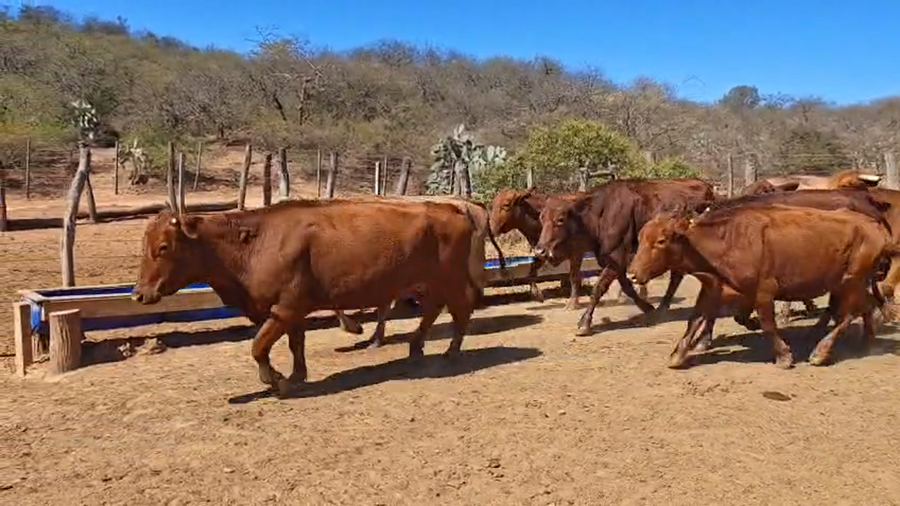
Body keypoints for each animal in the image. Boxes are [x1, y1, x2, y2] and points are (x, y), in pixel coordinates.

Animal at [132, 199, 483, 397]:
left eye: (163, 247)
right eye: (145, 245)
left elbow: (258, 346)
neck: (254, 243)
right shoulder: (292, 310)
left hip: (450, 278)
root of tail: (453, 209)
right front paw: (297, 375)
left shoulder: (285, 308)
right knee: (434, 309)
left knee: (461, 308)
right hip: (431, 281)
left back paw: (451, 351)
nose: (139, 294)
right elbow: (294, 343)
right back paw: (415, 347)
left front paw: (276, 381)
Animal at [533, 177, 716, 336]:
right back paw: (661, 309)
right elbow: (628, 287)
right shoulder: (614, 263)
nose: (540, 251)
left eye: (560, 219)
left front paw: (584, 323)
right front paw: (647, 308)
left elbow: (598, 288)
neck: (600, 214)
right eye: (541, 218)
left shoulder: (617, 259)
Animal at [627, 204, 899, 369]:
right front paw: (678, 354)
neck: (727, 242)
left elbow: (768, 325)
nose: (631, 274)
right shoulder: (713, 290)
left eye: (661, 241)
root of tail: (873, 226)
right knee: (865, 307)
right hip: (851, 283)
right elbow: (694, 321)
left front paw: (784, 356)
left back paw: (821, 352)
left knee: (849, 314)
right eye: (640, 238)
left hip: (850, 281)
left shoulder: (764, 292)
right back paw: (866, 341)